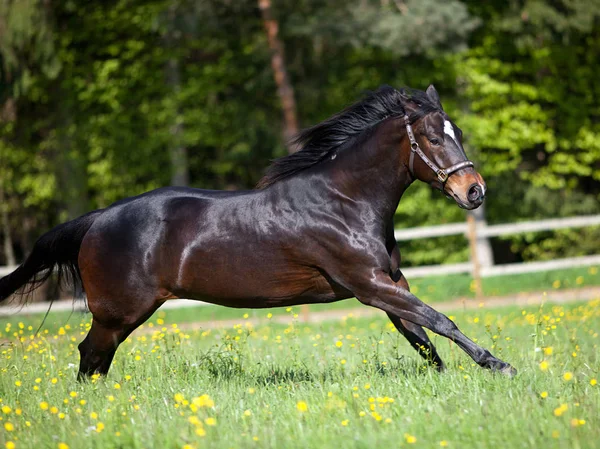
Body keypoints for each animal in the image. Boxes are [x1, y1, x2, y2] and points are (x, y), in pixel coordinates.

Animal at [0, 85, 516, 378]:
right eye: (431, 138)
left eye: (458, 133)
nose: (475, 192)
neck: (344, 201)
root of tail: (96, 219)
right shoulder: (368, 285)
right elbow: (439, 320)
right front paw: (498, 365)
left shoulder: (389, 281)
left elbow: (419, 333)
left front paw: (445, 379)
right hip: (118, 312)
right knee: (90, 354)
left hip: (120, 315)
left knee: (96, 359)